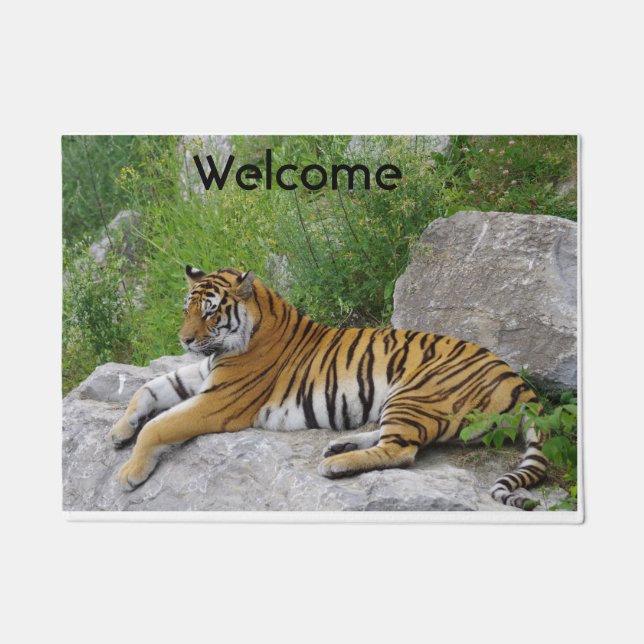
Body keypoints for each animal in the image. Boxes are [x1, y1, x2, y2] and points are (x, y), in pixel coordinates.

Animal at [108, 265, 548, 510]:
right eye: (187, 309)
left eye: (211, 312)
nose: (183, 340)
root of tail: (518, 382)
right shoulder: (203, 373)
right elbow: (147, 389)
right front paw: (118, 431)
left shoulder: (218, 401)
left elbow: (159, 426)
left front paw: (129, 473)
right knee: (397, 439)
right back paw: (340, 445)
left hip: (417, 392)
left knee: (402, 451)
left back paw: (337, 464)